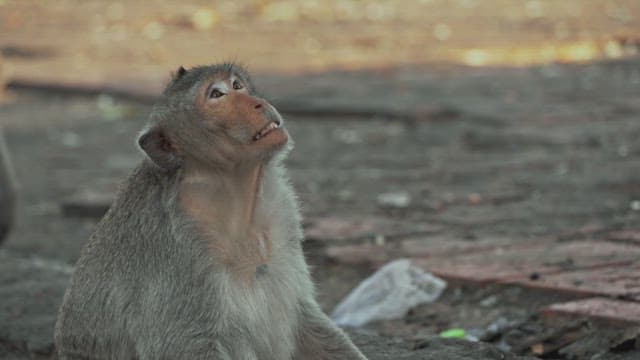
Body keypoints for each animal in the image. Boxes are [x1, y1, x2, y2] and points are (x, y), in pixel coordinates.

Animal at [54, 64, 368, 360]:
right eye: (216, 94)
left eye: (237, 85)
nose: (257, 102)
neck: (233, 195)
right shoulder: (177, 252)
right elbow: (183, 344)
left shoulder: (281, 211)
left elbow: (304, 317)